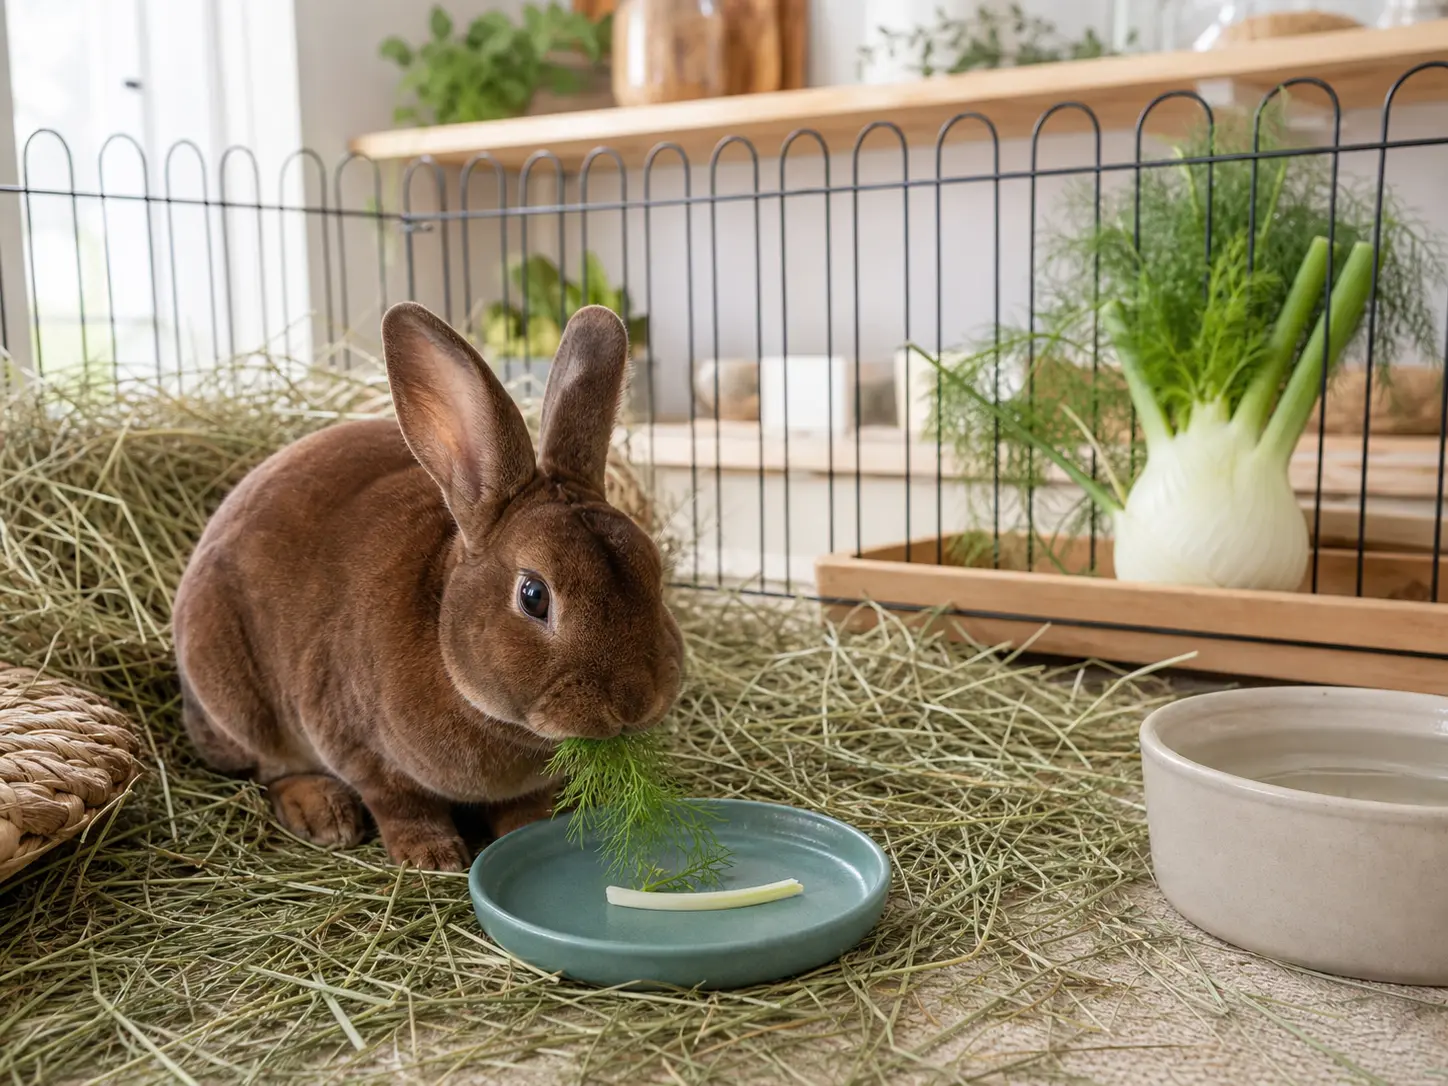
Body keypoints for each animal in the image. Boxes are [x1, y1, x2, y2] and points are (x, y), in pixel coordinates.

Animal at [172, 302, 685, 871]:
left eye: (655, 572)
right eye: (534, 596)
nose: (636, 703)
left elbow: (524, 807)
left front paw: (528, 831)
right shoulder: (358, 748)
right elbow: (400, 803)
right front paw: (433, 857)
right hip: (237, 702)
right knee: (269, 768)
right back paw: (322, 813)